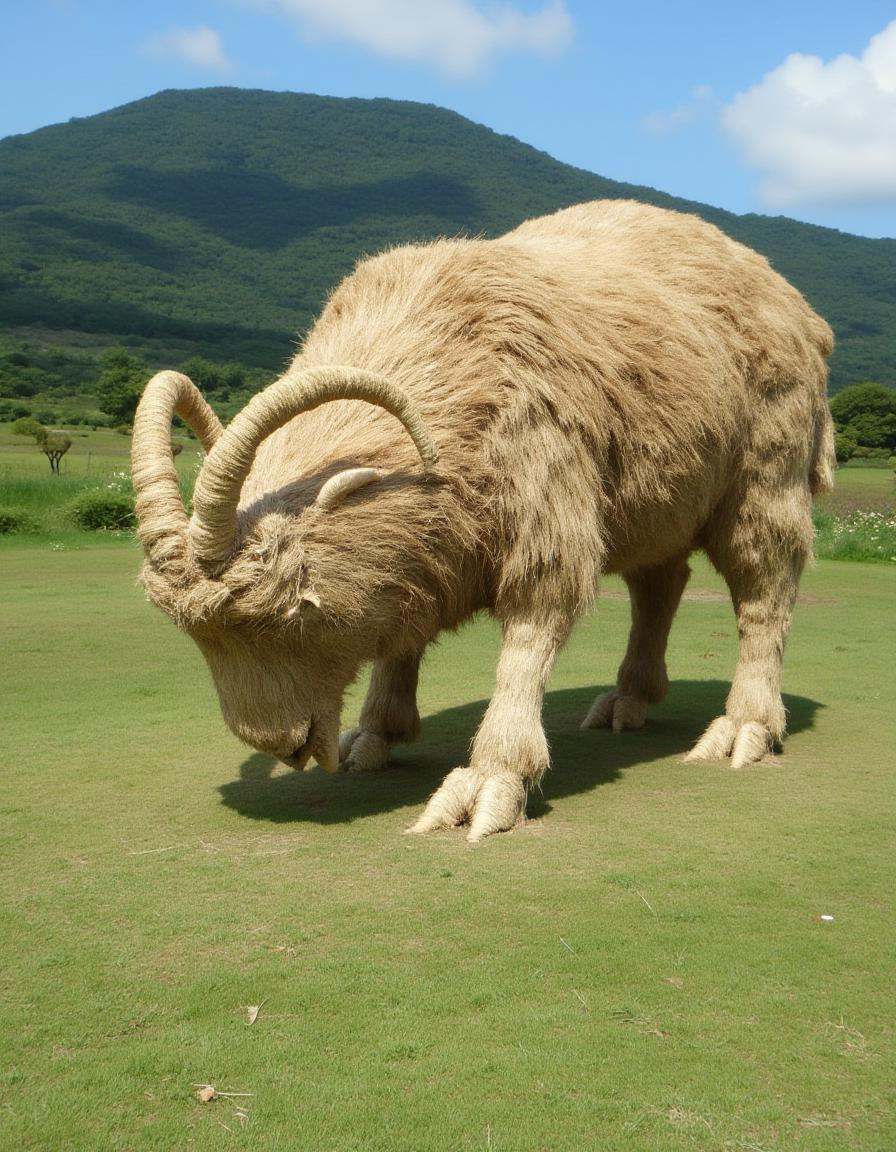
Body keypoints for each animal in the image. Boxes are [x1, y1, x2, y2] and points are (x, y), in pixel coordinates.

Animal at [132, 199, 835, 842]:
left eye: (292, 611)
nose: (276, 743)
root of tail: (799, 307)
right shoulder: (423, 550)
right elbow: (401, 628)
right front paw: (378, 733)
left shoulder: (545, 490)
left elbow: (530, 636)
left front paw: (489, 783)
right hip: (657, 498)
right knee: (659, 584)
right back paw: (630, 699)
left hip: (766, 476)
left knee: (766, 591)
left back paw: (745, 726)